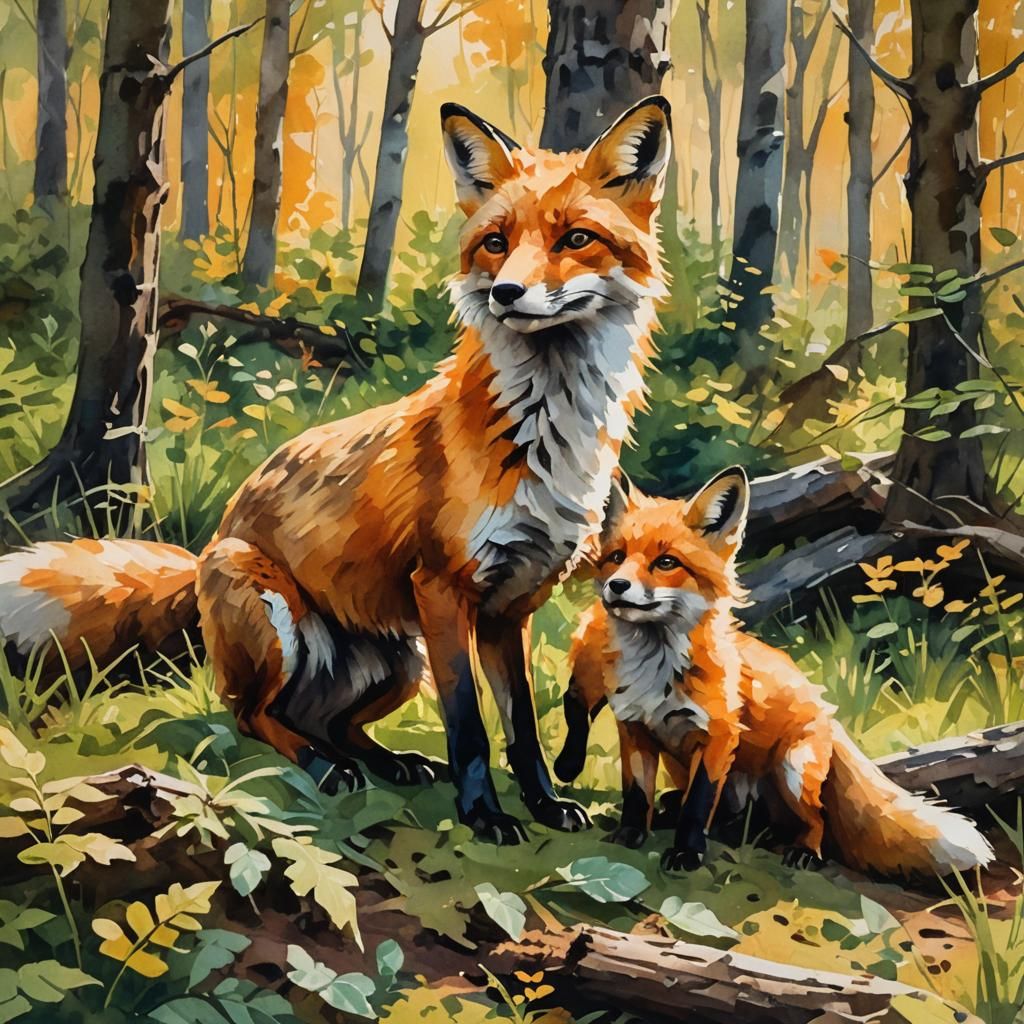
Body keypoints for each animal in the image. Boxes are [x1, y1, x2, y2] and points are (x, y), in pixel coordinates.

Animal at [0, 98, 673, 845]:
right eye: (496, 242)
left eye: (577, 238)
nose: (506, 292)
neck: (546, 437)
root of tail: (205, 552)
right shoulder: (443, 589)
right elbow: (469, 727)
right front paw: (484, 815)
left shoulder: (510, 606)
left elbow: (521, 727)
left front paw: (544, 804)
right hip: (282, 622)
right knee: (256, 716)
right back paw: (325, 769)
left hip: (401, 661)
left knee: (327, 719)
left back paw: (391, 762)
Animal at [553, 469, 994, 878]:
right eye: (616, 557)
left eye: (666, 563)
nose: (616, 586)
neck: (657, 671)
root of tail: (827, 711)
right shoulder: (635, 729)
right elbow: (637, 795)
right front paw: (630, 834)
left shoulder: (717, 738)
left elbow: (698, 806)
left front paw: (686, 854)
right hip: (694, 766)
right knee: (730, 815)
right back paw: (677, 813)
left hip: (793, 772)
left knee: (814, 819)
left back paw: (804, 851)